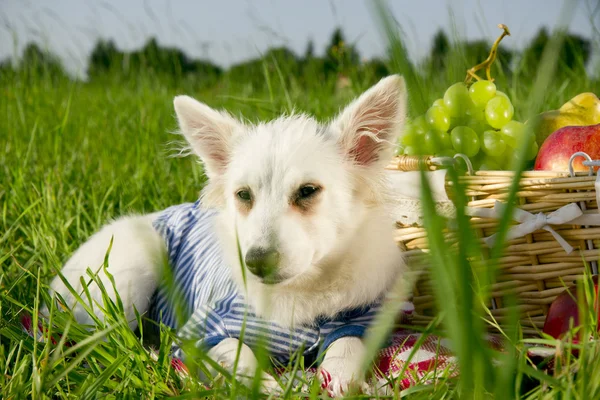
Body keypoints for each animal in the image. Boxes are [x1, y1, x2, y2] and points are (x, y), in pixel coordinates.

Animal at [48, 75, 408, 396]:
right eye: (243, 195)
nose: (257, 263)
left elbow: (345, 347)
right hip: (133, 272)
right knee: (102, 343)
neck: (302, 289)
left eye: (307, 191)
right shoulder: (205, 328)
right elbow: (238, 352)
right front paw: (265, 386)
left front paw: (343, 382)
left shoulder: (358, 320)